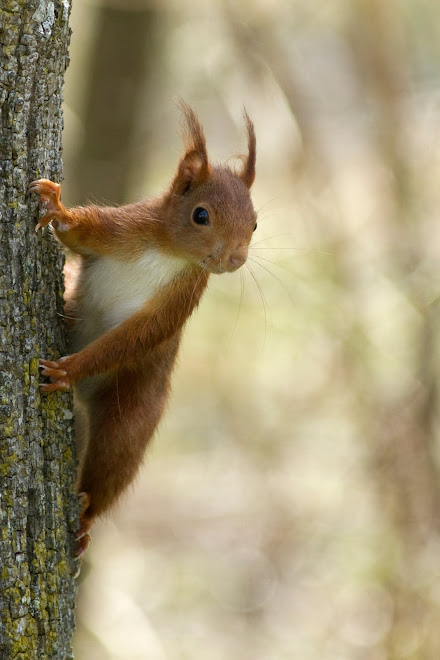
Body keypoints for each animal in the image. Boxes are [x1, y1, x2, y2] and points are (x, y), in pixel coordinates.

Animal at [29, 102, 256, 556]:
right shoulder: (120, 227)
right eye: (200, 215)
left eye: (255, 224)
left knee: (110, 467)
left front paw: (68, 369)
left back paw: (85, 518)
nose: (235, 259)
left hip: (132, 416)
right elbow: (77, 232)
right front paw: (56, 207)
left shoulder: (177, 301)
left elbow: (136, 337)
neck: (168, 252)